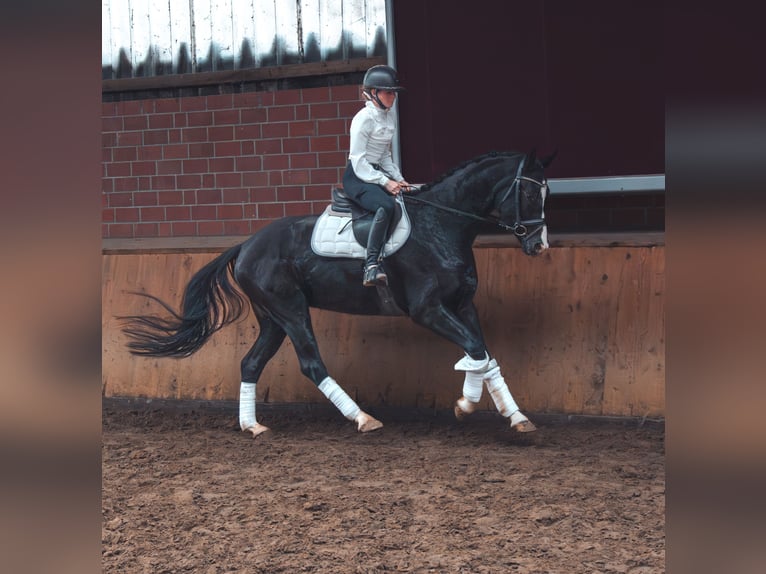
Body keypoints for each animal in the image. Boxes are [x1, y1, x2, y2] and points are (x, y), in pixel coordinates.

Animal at [124, 151, 560, 438]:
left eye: (546, 194)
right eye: (528, 194)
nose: (539, 246)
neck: (442, 224)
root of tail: (246, 245)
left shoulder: (462, 305)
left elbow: (483, 354)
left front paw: (515, 416)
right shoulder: (428, 309)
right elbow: (474, 349)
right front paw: (466, 404)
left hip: (273, 319)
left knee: (251, 363)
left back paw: (252, 425)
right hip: (291, 311)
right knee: (311, 363)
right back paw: (362, 418)